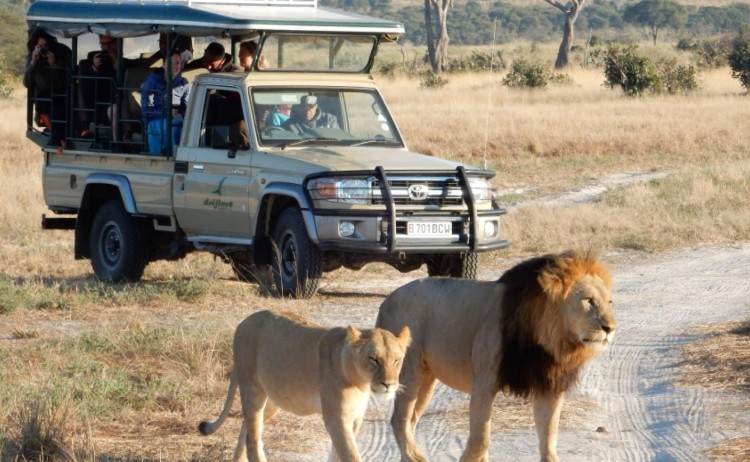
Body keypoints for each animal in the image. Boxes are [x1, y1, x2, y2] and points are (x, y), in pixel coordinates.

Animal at [198, 310, 411, 462]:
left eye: (397, 361)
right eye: (373, 359)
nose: (389, 384)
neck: (361, 383)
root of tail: (244, 321)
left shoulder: (355, 418)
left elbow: (337, 455)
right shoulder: (337, 418)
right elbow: (350, 455)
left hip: (272, 399)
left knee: (248, 430)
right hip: (252, 389)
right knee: (252, 441)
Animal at [375, 250, 616, 462]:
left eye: (609, 302)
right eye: (588, 300)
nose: (610, 328)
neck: (552, 340)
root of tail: (386, 302)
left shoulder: (549, 387)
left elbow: (548, 441)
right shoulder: (484, 382)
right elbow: (481, 439)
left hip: (427, 378)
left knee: (410, 421)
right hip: (408, 370)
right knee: (399, 420)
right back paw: (415, 456)